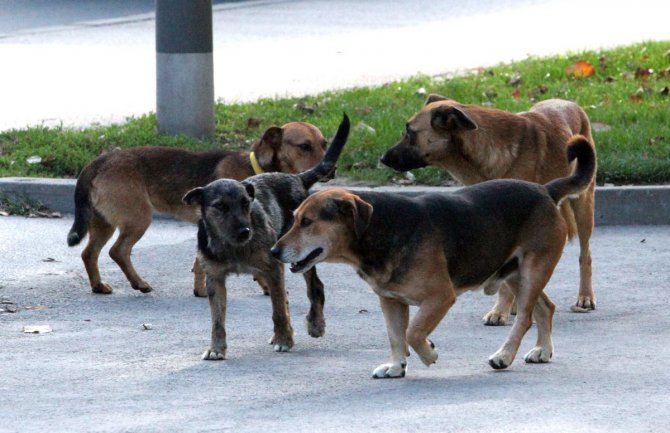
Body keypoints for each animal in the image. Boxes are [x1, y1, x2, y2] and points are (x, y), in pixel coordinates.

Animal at [67, 121, 328, 296]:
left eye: (324, 144)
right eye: (305, 146)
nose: (331, 169)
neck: (256, 168)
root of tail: (100, 160)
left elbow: (199, 263)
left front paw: (200, 290)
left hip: (104, 222)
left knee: (89, 253)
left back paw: (98, 285)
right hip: (138, 219)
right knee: (118, 251)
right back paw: (139, 283)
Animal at [272, 136, 600, 378]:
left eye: (307, 222)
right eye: (295, 217)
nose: (274, 251)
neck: (380, 229)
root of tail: (545, 190)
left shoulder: (440, 296)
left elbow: (413, 332)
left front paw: (429, 352)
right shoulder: (390, 301)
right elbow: (396, 335)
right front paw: (396, 366)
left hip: (532, 269)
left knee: (526, 317)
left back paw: (504, 356)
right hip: (515, 274)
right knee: (546, 308)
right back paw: (542, 351)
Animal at [384, 94, 600, 324]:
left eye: (410, 132)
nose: (382, 159)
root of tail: (568, 102)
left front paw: (500, 311)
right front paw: (507, 307)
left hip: (584, 206)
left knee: (585, 255)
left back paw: (585, 296)